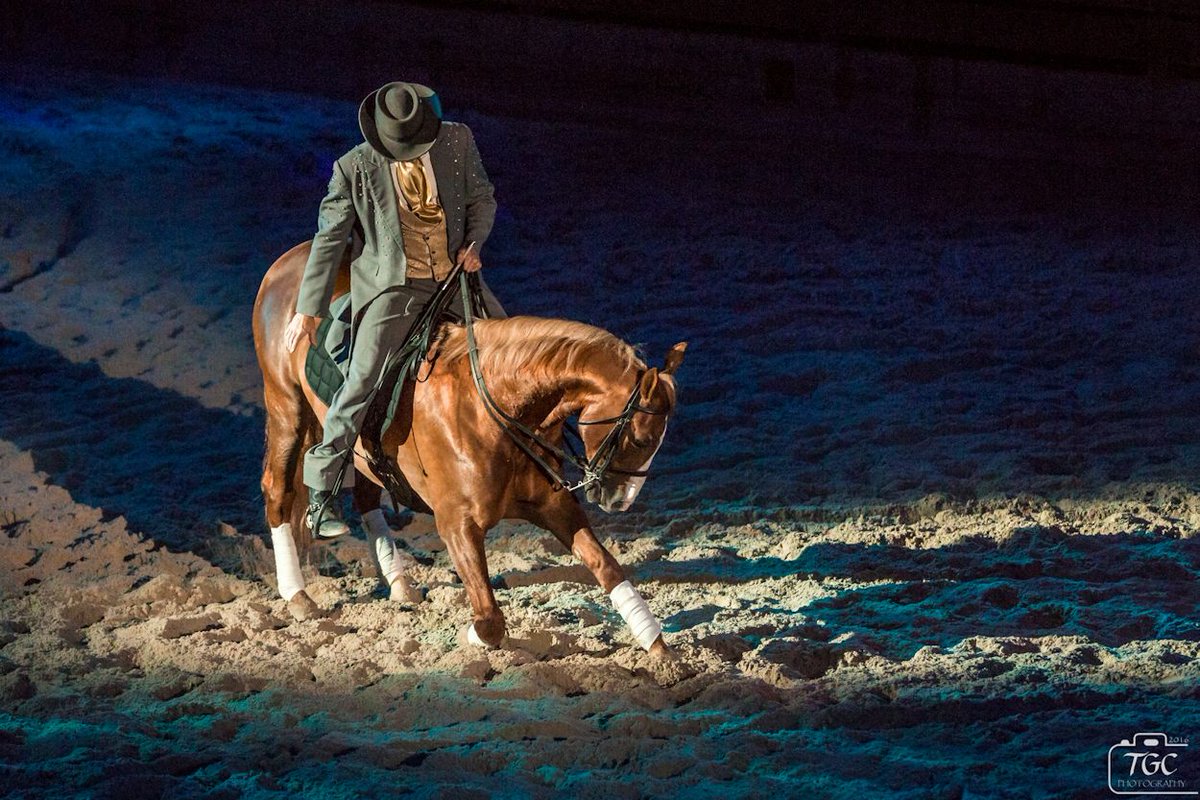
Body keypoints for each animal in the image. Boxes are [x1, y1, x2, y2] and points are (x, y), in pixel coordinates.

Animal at [252, 242, 686, 657]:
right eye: (642, 439)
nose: (620, 500)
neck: (493, 409)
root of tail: (288, 261)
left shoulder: (555, 505)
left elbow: (608, 567)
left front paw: (658, 648)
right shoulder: (456, 523)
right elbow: (491, 619)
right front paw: (472, 634)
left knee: (366, 495)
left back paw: (399, 583)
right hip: (287, 408)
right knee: (279, 490)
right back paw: (298, 595)